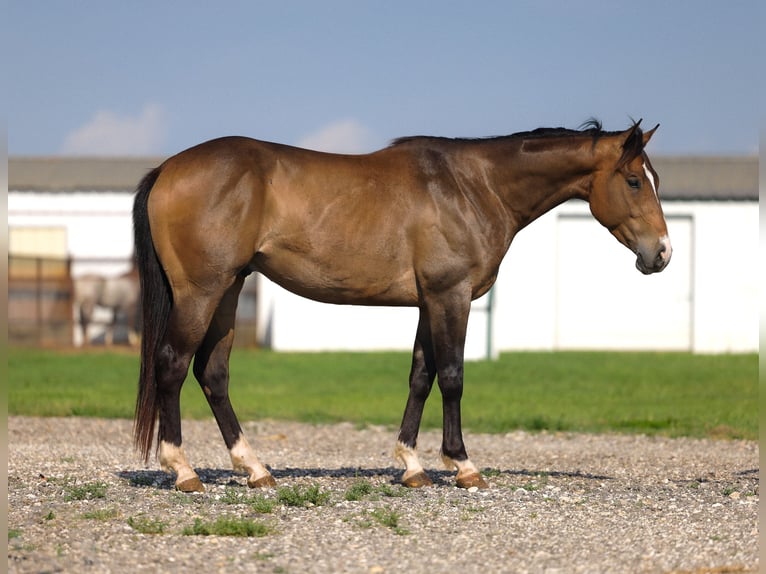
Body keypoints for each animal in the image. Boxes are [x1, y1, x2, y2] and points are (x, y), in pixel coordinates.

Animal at [132, 119, 671, 492]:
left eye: (655, 178)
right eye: (633, 181)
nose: (661, 254)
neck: (474, 186)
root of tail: (168, 168)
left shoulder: (429, 303)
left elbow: (421, 376)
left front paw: (412, 466)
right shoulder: (451, 296)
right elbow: (452, 376)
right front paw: (462, 464)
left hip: (228, 291)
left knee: (213, 373)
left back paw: (255, 469)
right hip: (202, 292)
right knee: (173, 364)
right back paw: (183, 471)